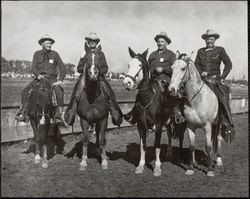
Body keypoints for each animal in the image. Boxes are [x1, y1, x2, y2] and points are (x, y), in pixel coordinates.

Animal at [75, 42, 110, 170]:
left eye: (100, 58)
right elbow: (85, 139)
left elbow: (103, 139)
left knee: (98, 135)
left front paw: (104, 161)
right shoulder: (84, 119)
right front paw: (83, 161)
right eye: (85, 58)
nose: (93, 74)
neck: (93, 96)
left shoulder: (103, 118)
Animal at [123, 47, 186, 176]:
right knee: (169, 135)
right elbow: (142, 146)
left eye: (140, 64)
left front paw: (157, 168)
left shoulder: (158, 126)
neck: (147, 98)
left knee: (180, 138)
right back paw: (169, 153)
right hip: (168, 122)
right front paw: (140, 166)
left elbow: (157, 146)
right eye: (129, 64)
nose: (127, 83)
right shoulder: (141, 126)